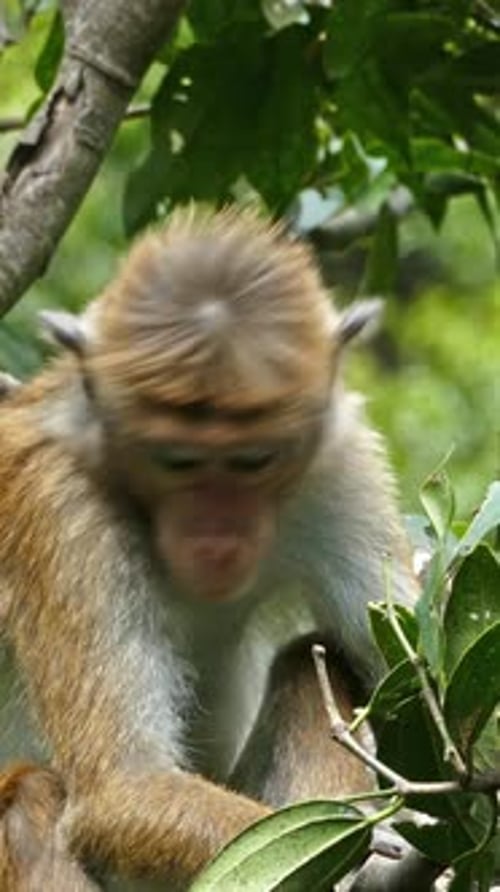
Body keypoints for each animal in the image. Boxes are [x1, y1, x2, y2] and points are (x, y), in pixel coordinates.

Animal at [0, 207, 418, 889]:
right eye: (177, 460)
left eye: (254, 460)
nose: (214, 535)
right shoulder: (60, 507)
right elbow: (124, 791)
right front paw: (366, 847)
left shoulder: (341, 467)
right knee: (32, 797)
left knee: (310, 658)